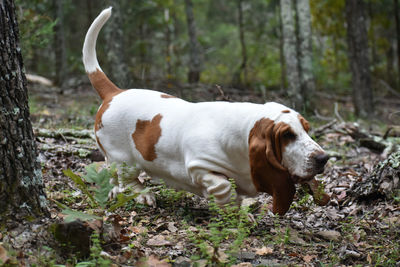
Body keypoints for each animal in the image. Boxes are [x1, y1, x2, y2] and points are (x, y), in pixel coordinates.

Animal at [83, 7, 330, 216]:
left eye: (307, 129)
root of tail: (114, 93)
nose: (323, 158)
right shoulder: (200, 166)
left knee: (114, 179)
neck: (241, 134)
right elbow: (223, 187)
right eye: (287, 135)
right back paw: (144, 196)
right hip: (124, 160)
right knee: (127, 179)